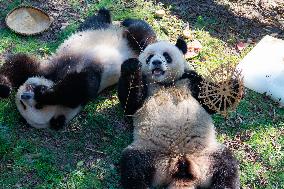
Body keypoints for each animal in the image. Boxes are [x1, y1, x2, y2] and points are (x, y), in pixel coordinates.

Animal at [0, 8, 158, 130]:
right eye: (23, 106)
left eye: (38, 106)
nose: (24, 96)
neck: (58, 77)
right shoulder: (47, 72)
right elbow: (19, 64)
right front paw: (6, 87)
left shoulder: (53, 75)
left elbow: (84, 85)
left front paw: (44, 93)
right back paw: (130, 68)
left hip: (114, 37)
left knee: (140, 32)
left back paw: (125, 21)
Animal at [117, 38, 240, 188]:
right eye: (149, 57)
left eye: (166, 56)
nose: (156, 62)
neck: (166, 84)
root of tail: (180, 168)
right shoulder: (146, 86)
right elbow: (131, 105)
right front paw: (131, 67)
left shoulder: (190, 80)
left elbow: (211, 101)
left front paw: (234, 85)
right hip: (150, 152)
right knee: (133, 167)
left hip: (207, 154)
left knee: (227, 167)